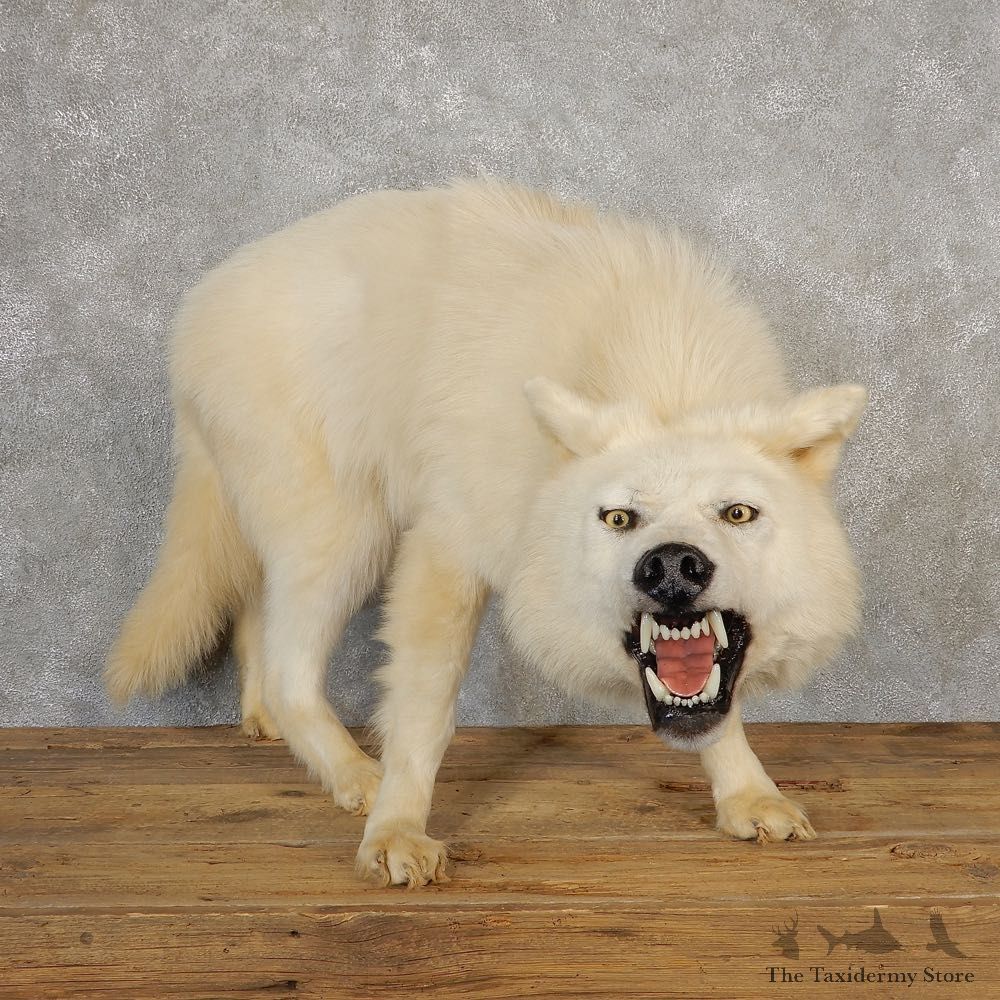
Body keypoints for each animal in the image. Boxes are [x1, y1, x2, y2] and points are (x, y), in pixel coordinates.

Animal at [106, 179, 866, 887]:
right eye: (619, 518)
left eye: (737, 514)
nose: (672, 566)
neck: (661, 380)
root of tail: (200, 306)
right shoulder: (445, 553)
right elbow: (423, 712)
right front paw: (397, 830)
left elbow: (718, 704)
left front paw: (746, 795)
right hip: (347, 538)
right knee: (293, 668)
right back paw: (354, 776)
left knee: (260, 619)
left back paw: (269, 723)